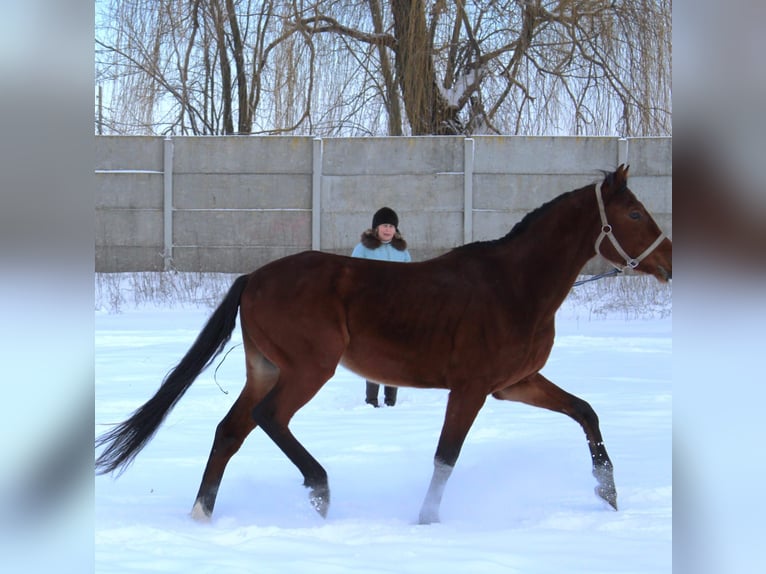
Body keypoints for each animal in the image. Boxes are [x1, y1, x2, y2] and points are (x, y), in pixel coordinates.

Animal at [94, 166, 672, 528]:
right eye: (635, 214)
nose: (668, 261)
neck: (514, 285)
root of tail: (254, 277)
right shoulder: (472, 389)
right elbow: (446, 457)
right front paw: (427, 520)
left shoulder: (515, 385)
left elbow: (586, 411)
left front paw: (608, 492)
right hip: (308, 369)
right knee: (268, 418)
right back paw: (320, 490)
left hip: (265, 369)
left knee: (230, 431)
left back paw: (202, 516)